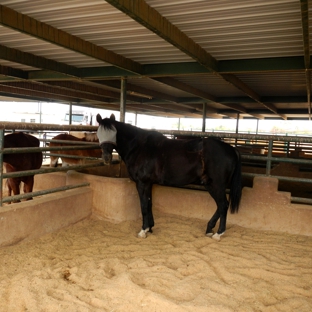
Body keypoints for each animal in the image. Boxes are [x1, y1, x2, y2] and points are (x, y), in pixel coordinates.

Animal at [96, 114, 243, 241]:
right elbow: (149, 203)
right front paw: (150, 228)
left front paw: (143, 230)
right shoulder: (149, 183)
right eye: (98, 133)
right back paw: (209, 229)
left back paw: (218, 233)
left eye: (114, 133)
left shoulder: (142, 183)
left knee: (223, 205)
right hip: (210, 184)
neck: (139, 147)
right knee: (220, 206)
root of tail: (231, 149)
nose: (107, 158)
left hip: (216, 185)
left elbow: (143, 205)